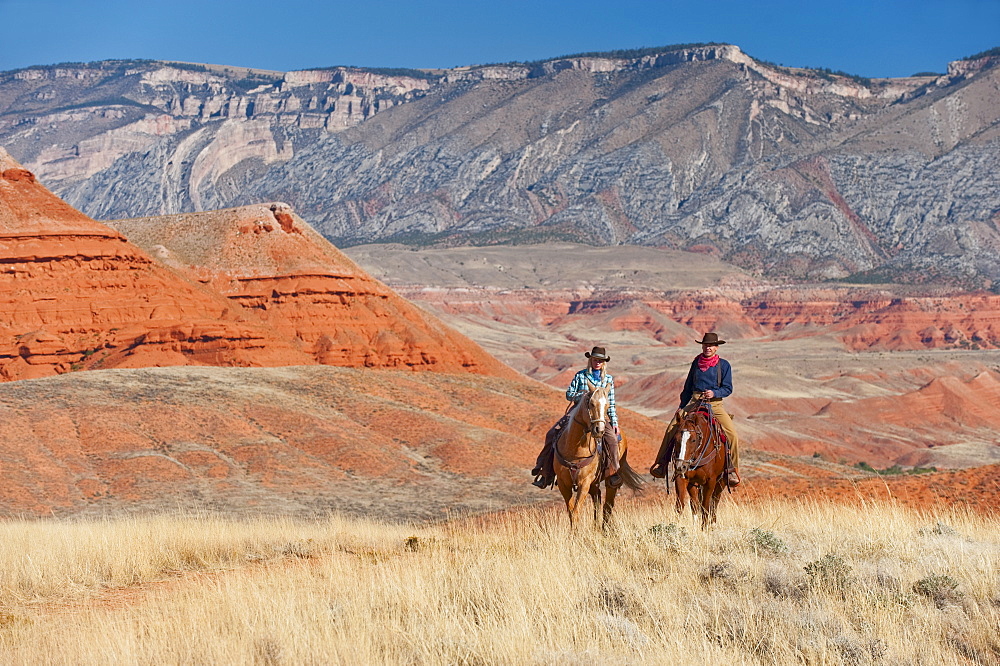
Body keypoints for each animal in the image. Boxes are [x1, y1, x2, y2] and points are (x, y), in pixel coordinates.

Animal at [552, 382, 644, 528]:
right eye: (591, 404)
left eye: (607, 405)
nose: (599, 430)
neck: (575, 450)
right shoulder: (563, 483)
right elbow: (571, 512)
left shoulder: (584, 483)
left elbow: (576, 511)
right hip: (594, 484)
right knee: (597, 500)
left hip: (610, 480)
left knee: (607, 505)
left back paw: (604, 528)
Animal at [668, 400, 732, 528]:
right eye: (676, 439)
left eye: (693, 440)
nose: (681, 466)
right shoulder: (682, 479)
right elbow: (680, 506)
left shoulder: (710, 481)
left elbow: (706, 507)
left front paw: (705, 528)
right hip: (694, 483)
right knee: (695, 504)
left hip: (722, 481)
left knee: (714, 502)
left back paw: (712, 524)